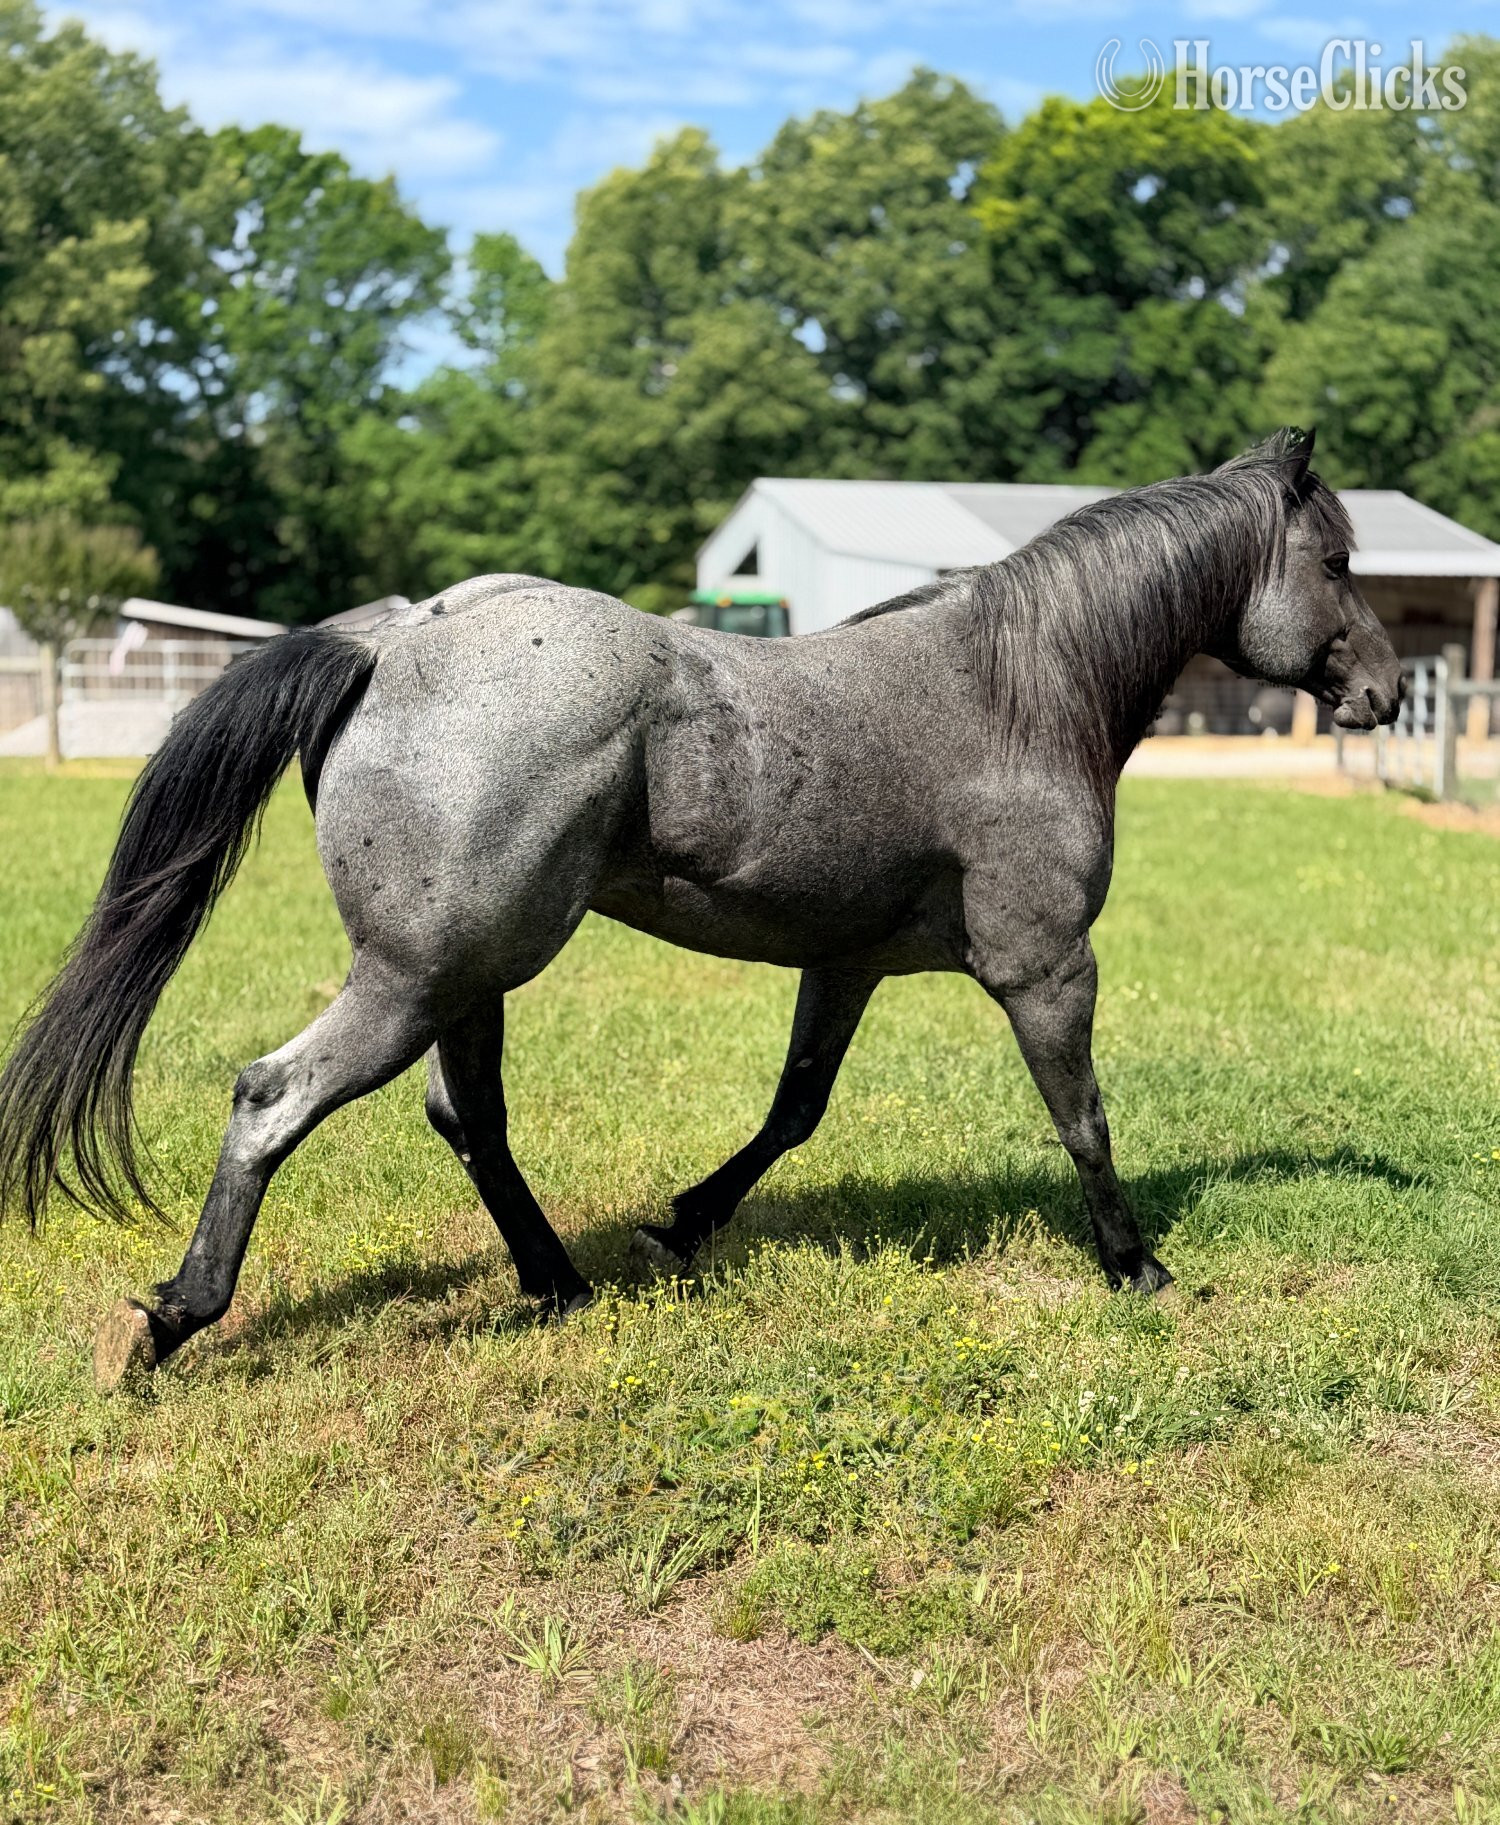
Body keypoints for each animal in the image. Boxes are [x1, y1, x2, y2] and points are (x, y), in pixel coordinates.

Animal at [0, 428, 1402, 1390]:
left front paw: (686, 1223)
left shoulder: (845, 966)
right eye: (1337, 561)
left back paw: (558, 1281)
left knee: (468, 1118)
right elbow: (1086, 1121)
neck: (1017, 688)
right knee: (273, 1098)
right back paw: (177, 1315)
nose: (1386, 691)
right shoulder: (1047, 965)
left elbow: (793, 1111)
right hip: (417, 977)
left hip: (468, 976)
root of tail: (395, 640)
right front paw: (1135, 1266)